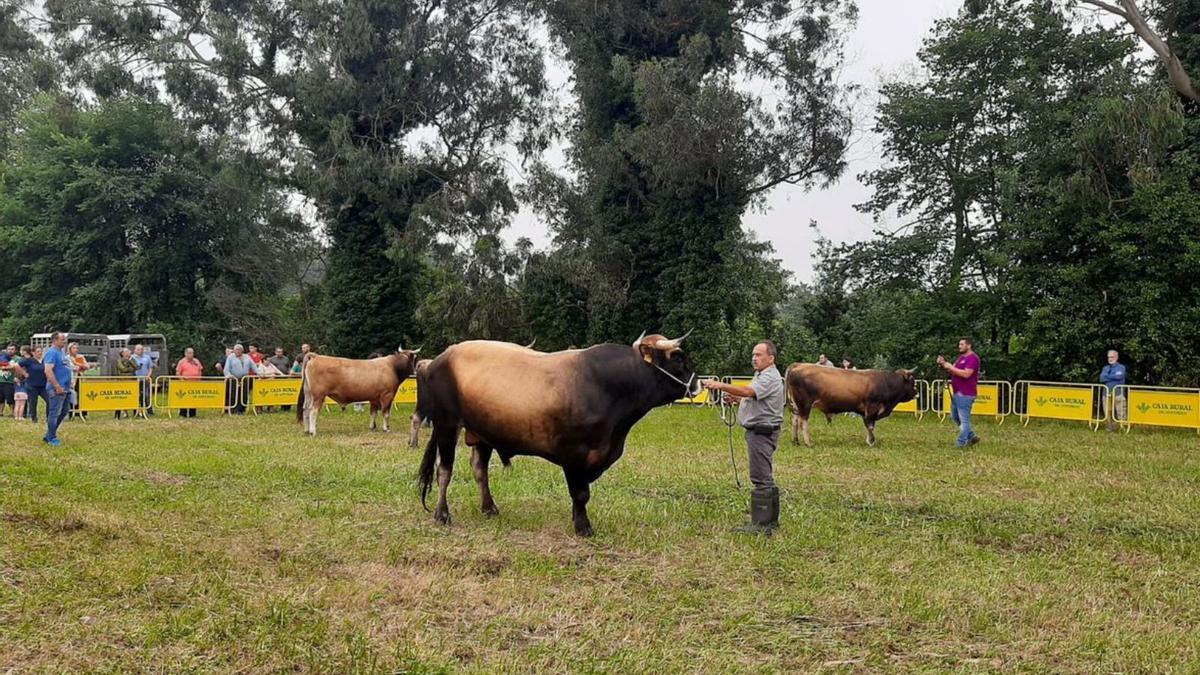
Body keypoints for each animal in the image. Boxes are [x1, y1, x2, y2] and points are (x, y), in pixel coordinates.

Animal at [422, 331, 700, 535]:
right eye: (677, 357)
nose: (698, 384)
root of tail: (442, 357)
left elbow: (581, 492)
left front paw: (578, 519)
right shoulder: (573, 452)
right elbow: (581, 492)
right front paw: (583, 527)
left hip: (482, 430)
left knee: (479, 468)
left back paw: (489, 507)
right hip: (447, 424)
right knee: (444, 470)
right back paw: (442, 514)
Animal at [787, 362, 916, 446]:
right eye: (912, 381)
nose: (916, 393)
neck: (885, 382)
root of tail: (798, 365)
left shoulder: (866, 411)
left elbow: (868, 426)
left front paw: (869, 440)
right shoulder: (872, 407)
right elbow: (870, 426)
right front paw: (871, 441)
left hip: (797, 405)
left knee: (795, 421)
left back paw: (795, 441)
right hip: (804, 404)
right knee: (803, 422)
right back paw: (808, 442)